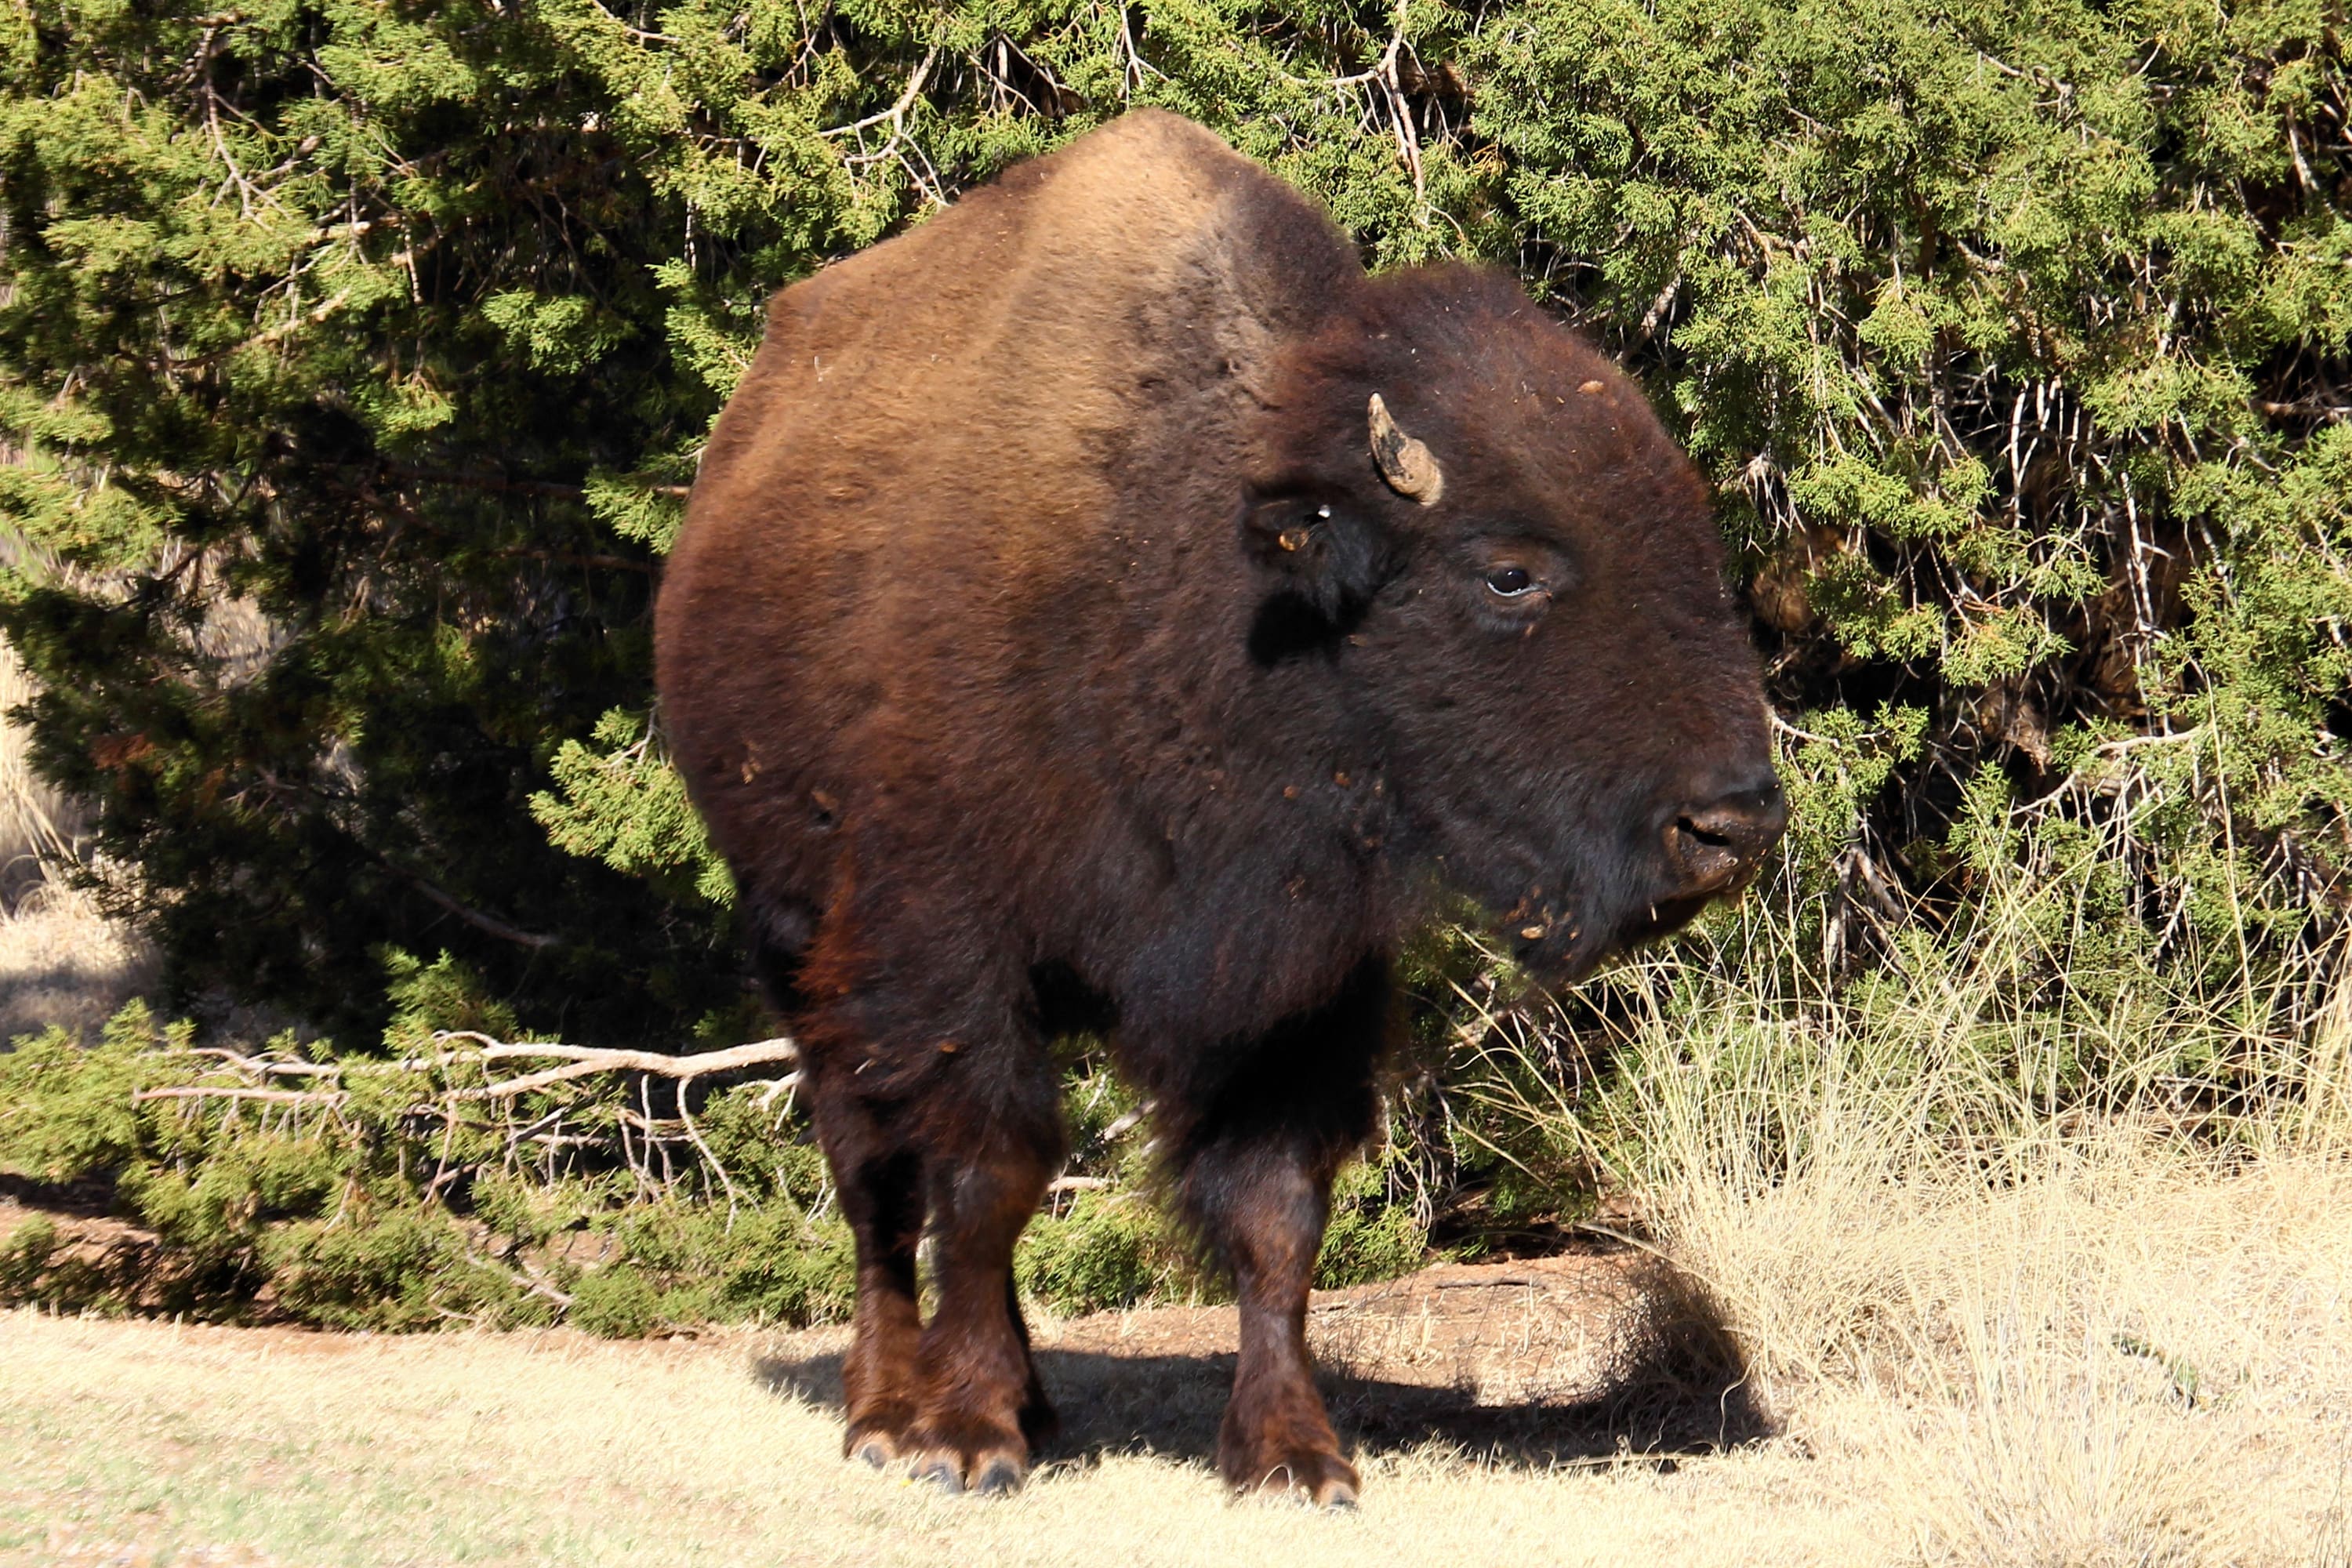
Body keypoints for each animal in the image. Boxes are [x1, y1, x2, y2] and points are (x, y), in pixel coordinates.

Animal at [655, 110, 1784, 1505]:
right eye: (1509, 573)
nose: (1732, 825)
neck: (1200, 565)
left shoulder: (1297, 986)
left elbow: (1274, 1214)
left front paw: (1294, 1456)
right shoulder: (949, 952)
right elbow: (984, 1176)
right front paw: (963, 1437)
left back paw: (1031, 1402)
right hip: (799, 942)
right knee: (873, 1183)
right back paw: (886, 1409)